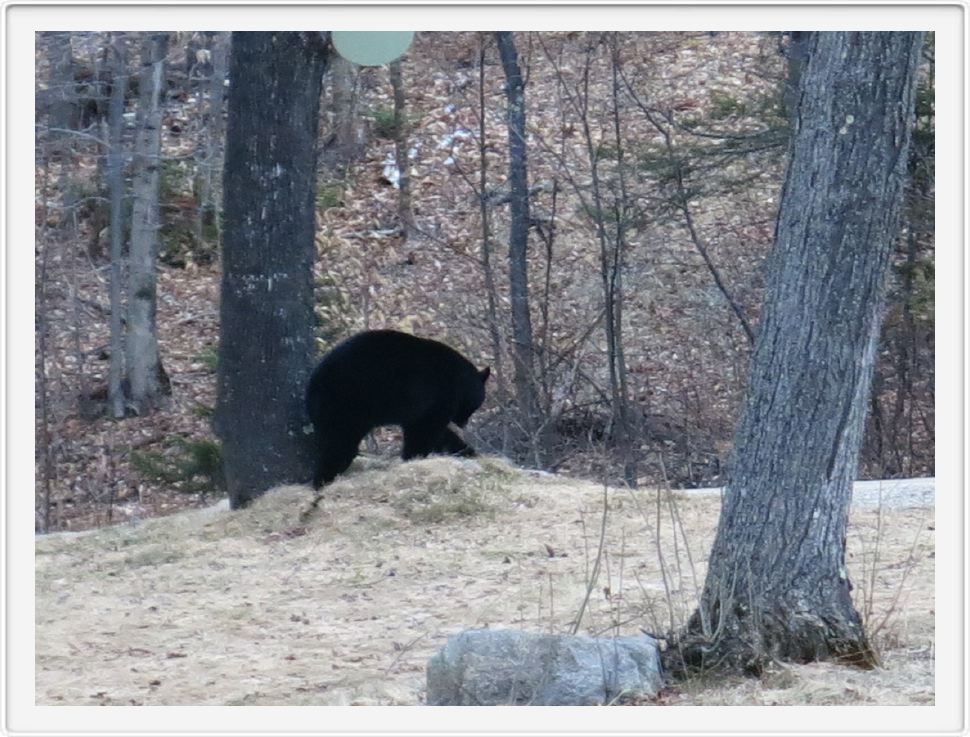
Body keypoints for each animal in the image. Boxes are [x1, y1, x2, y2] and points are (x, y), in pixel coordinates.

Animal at [306, 330, 488, 486]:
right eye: (476, 404)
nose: (463, 424)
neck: (459, 379)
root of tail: (313, 384)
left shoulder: (420, 410)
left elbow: (437, 433)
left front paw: (467, 450)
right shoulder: (438, 396)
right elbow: (427, 430)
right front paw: (414, 457)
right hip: (345, 405)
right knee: (339, 444)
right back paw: (324, 479)